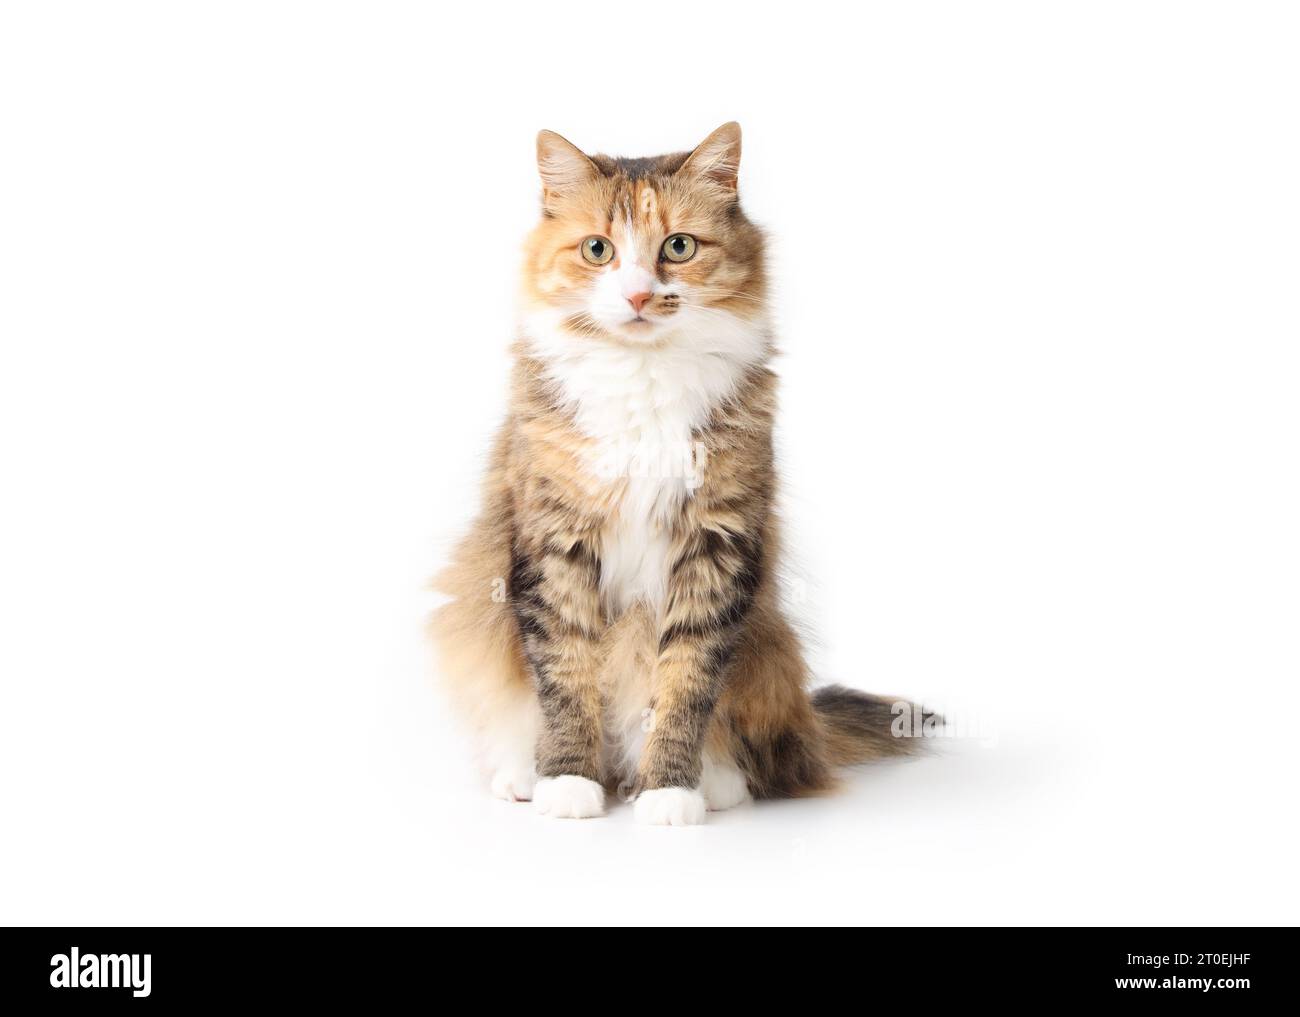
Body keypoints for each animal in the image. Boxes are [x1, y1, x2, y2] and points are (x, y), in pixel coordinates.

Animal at [431, 123, 920, 821]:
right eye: (598, 249)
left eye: (679, 247)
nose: (638, 294)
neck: (643, 379)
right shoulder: (555, 544)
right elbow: (566, 681)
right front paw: (567, 783)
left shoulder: (715, 546)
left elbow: (684, 688)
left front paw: (668, 792)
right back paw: (526, 774)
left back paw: (712, 785)